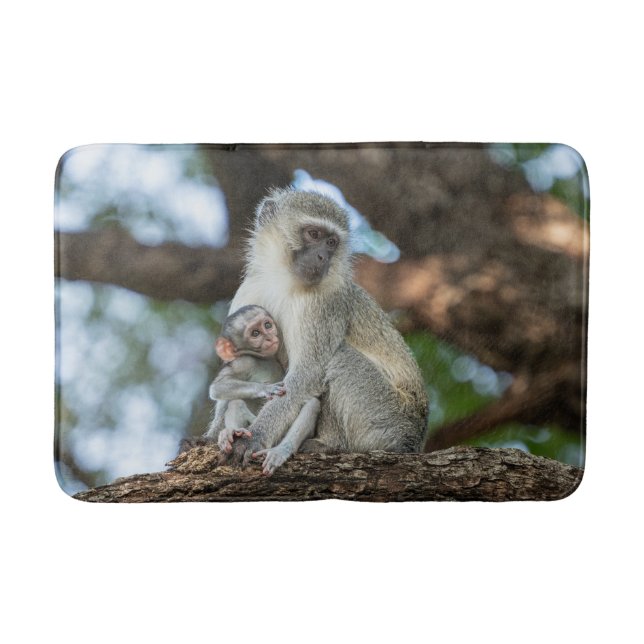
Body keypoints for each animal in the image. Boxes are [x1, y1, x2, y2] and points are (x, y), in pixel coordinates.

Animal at [204, 304, 319, 475]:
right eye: (255, 333)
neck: (263, 359)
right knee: (236, 403)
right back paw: (232, 432)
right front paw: (266, 389)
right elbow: (217, 388)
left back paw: (280, 451)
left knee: (312, 404)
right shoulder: (244, 362)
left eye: (267, 325)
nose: (270, 338)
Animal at [221, 188, 429, 467]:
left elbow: (308, 373)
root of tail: (415, 440)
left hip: (387, 418)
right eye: (314, 234)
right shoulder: (249, 291)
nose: (322, 257)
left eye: (331, 243)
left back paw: (329, 444)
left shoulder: (325, 303)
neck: (284, 279)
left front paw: (254, 438)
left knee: (340, 358)